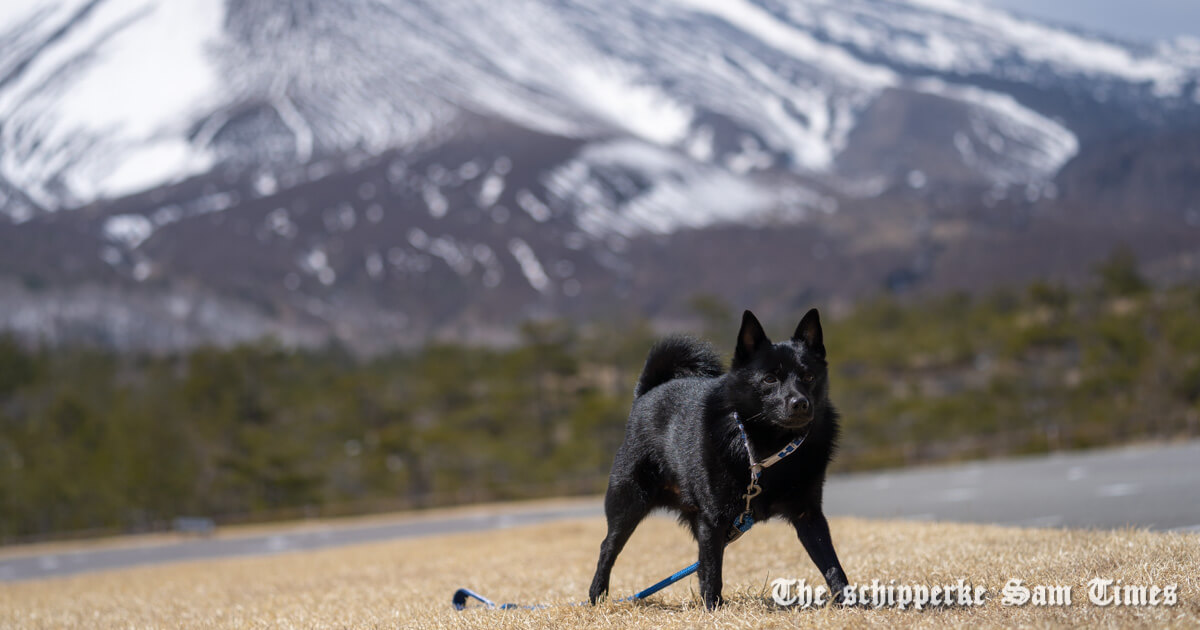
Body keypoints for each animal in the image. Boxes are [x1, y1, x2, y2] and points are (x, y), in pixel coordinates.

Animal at [588, 307, 849, 607]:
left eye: (808, 377)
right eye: (770, 379)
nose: (800, 403)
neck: (767, 448)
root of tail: (646, 392)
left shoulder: (809, 515)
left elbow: (831, 563)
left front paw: (848, 600)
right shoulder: (713, 519)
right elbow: (713, 568)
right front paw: (712, 607)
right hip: (628, 503)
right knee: (608, 547)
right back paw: (596, 595)